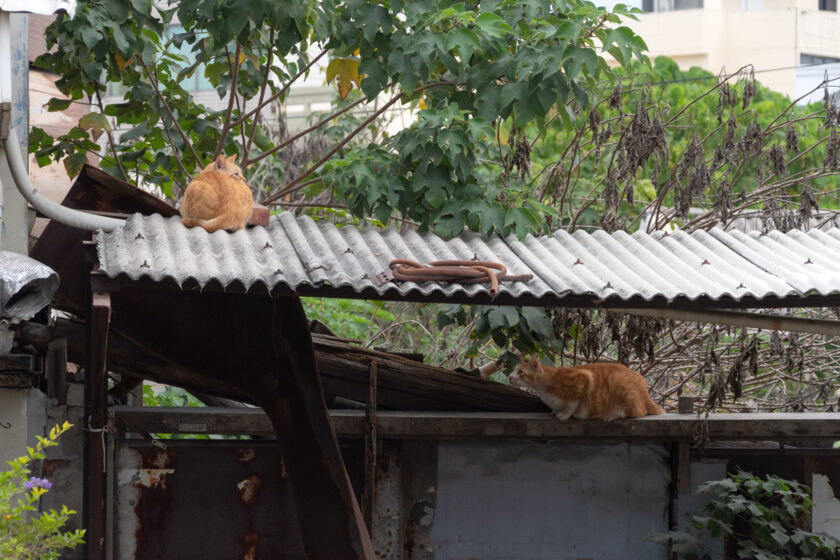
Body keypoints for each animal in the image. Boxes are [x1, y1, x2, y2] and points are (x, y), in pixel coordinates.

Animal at [508, 356, 668, 422]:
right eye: (513, 370)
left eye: (520, 372)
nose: (509, 377)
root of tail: (647, 395)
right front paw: (556, 410)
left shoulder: (583, 377)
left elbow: (572, 403)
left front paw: (564, 415)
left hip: (616, 379)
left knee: (637, 412)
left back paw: (611, 415)